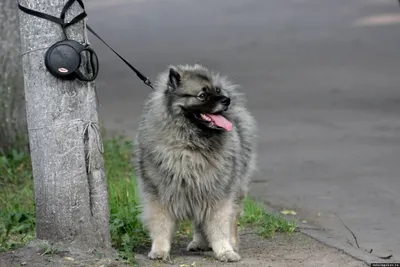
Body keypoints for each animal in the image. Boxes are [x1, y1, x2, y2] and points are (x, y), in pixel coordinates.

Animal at [134, 63, 256, 264]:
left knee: (231, 218)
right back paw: (199, 242)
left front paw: (225, 251)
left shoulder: (217, 193)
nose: (226, 100)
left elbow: (219, 226)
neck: (190, 144)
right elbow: (161, 226)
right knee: (200, 222)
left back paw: (231, 243)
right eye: (202, 95)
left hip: (232, 187)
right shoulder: (160, 194)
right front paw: (159, 250)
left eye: (217, 90)